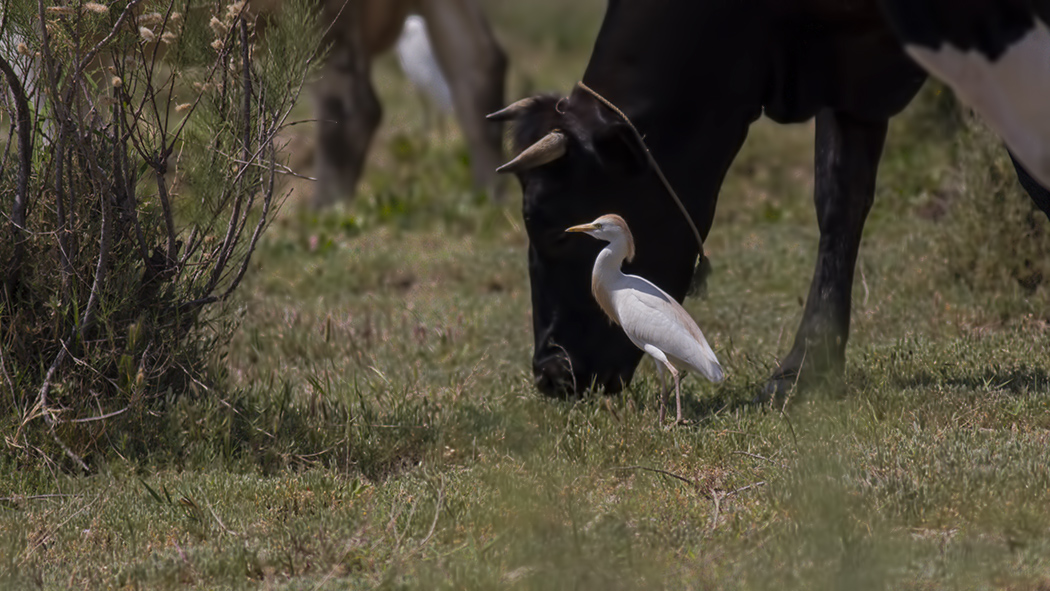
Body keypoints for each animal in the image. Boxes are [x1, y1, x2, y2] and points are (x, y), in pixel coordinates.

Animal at [495, 0, 1050, 400]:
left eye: (547, 225)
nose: (551, 374)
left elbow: (1035, 173)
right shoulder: (851, 76)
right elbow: (839, 198)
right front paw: (805, 369)